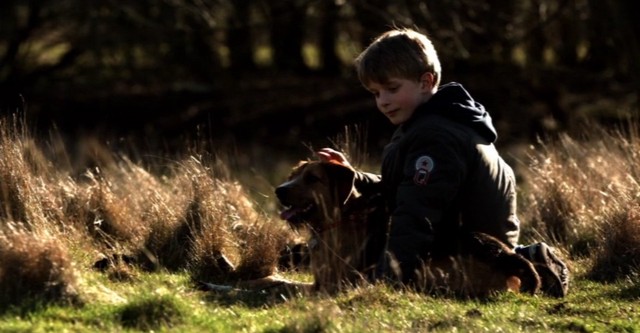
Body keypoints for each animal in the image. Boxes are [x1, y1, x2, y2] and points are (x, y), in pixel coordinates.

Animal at [276, 159, 540, 296]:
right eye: (293, 175)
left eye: (312, 178)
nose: (279, 190)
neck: (339, 218)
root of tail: (506, 258)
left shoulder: (334, 284)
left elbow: (288, 286)